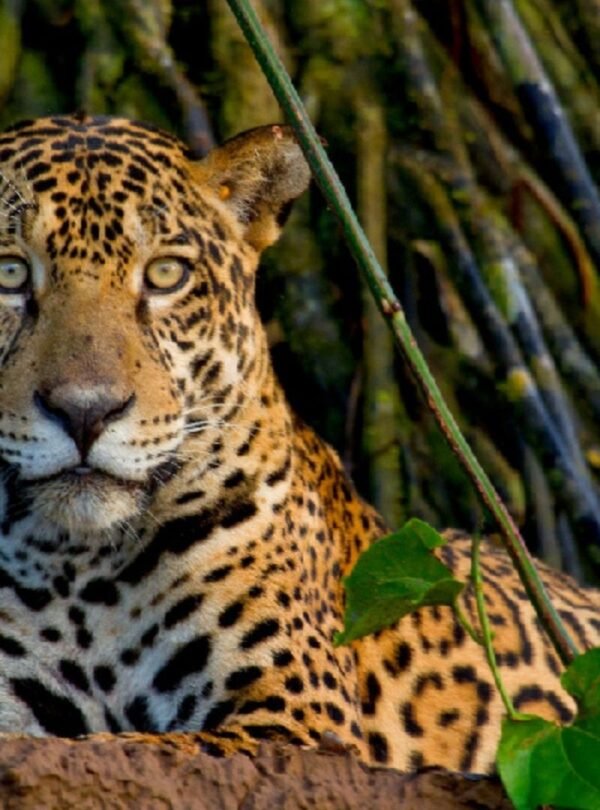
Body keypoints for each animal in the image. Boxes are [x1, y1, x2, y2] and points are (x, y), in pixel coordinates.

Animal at [0, 113, 596, 776]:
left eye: (165, 274)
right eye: (9, 272)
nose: (86, 411)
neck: (76, 570)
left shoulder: (298, 718)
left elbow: (134, 747)